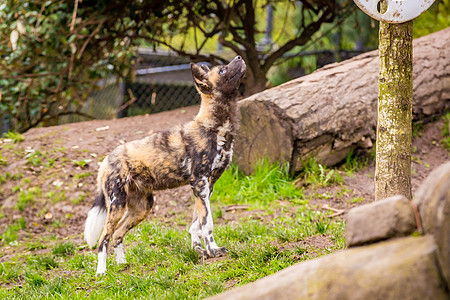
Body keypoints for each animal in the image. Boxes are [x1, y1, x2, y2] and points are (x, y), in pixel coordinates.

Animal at [84, 55, 246, 274]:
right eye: (221, 70)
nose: (238, 57)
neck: (215, 128)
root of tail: (106, 159)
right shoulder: (200, 185)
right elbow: (207, 223)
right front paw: (213, 250)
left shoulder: (207, 187)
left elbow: (196, 223)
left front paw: (199, 250)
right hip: (117, 204)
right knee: (104, 238)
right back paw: (102, 273)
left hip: (142, 207)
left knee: (117, 234)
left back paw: (122, 264)